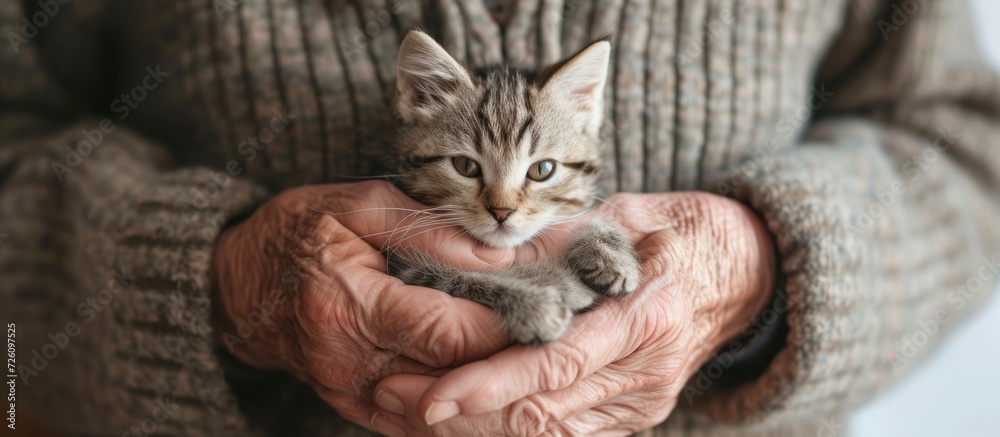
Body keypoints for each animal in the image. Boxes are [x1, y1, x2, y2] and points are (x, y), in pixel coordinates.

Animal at [386, 30, 636, 344]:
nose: (501, 211)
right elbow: (453, 277)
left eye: (542, 170)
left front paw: (609, 250)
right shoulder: (402, 267)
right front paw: (534, 300)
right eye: (465, 166)